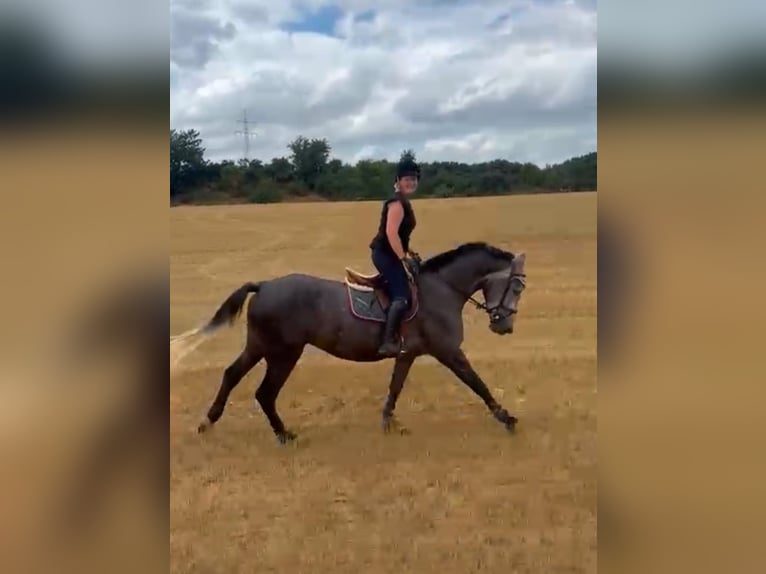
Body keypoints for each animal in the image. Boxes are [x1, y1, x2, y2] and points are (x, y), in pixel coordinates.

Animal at [195, 243, 528, 446]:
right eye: (516, 286)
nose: (505, 326)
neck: (443, 288)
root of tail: (264, 285)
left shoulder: (407, 354)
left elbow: (395, 388)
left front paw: (388, 424)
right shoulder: (448, 352)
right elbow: (477, 383)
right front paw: (507, 418)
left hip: (261, 347)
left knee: (232, 375)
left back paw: (209, 422)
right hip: (283, 353)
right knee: (264, 392)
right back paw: (284, 435)